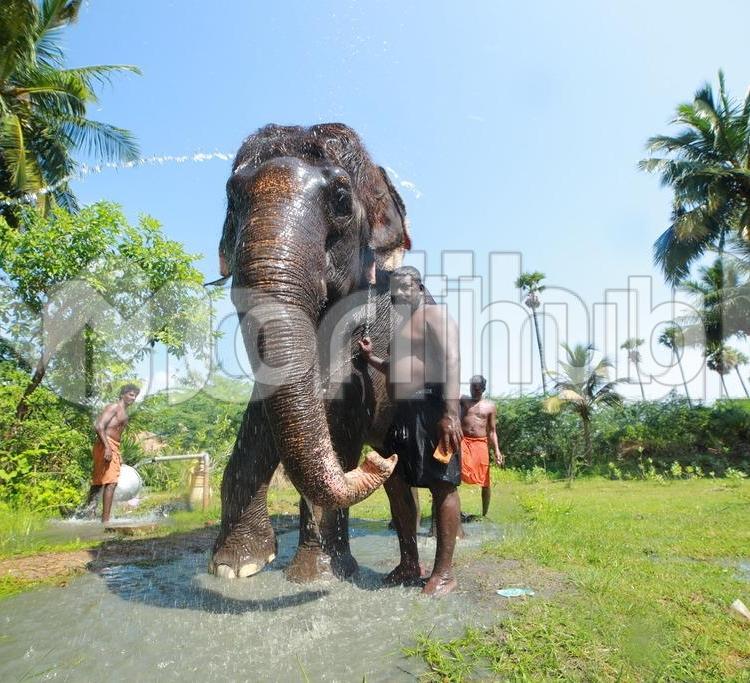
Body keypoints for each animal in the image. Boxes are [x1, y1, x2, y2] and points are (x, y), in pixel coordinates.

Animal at [209, 123, 412, 581]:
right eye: (231, 198)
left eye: (340, 199)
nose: (379, 461)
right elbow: (264, 409)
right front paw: (236, 566)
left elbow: (338, 414)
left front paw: (319, 574)